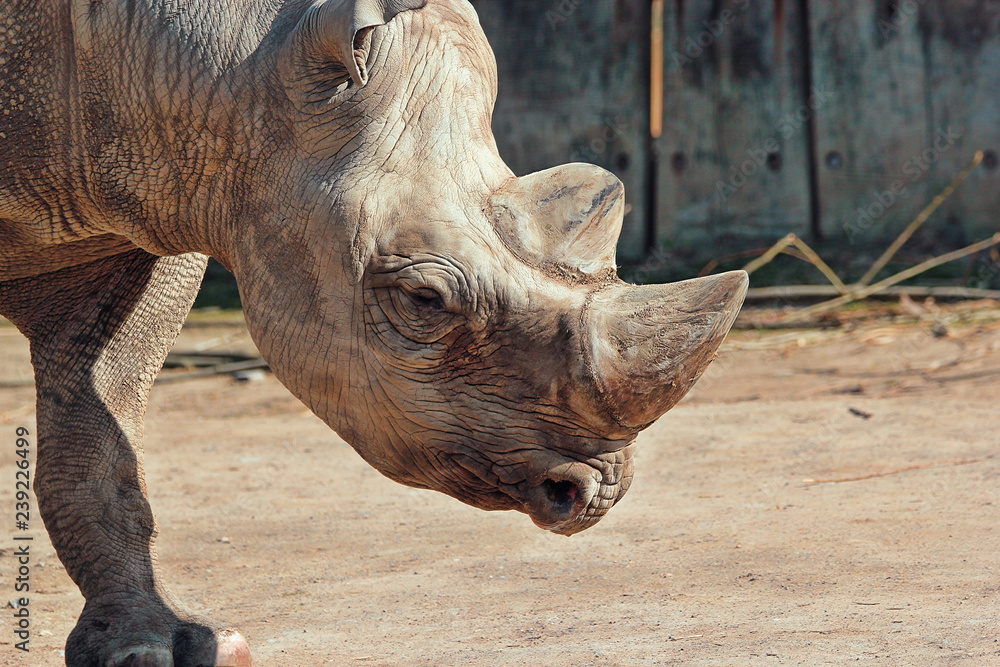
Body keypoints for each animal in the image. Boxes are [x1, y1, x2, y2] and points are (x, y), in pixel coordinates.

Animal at [0, 0, 746, 664]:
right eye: (423, 299)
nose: (596, 492)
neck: (228, 69)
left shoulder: (150, 208)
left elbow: (102, 426)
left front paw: (156, 647)